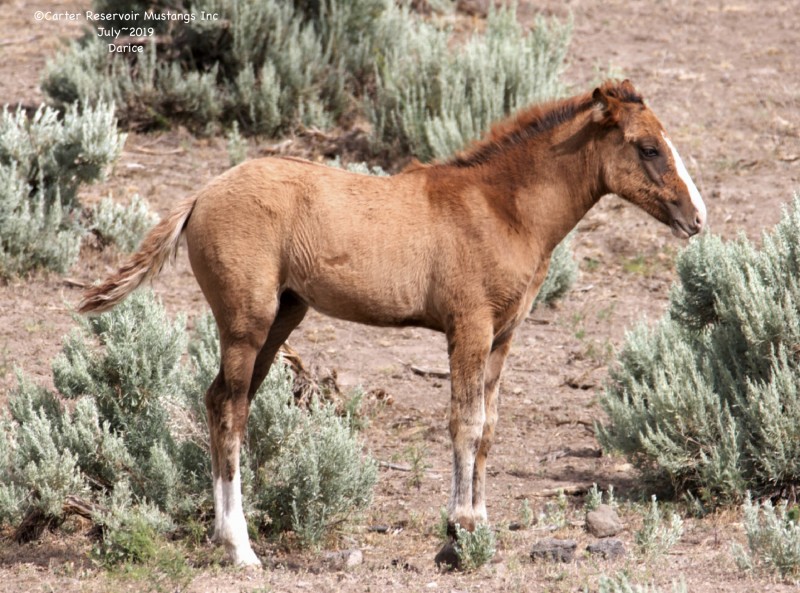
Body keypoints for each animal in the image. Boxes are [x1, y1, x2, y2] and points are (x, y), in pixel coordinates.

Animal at [79, 79, 706, 568]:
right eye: (648, 148)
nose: (697, 217)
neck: (500, 206)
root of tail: (202, 194)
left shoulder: (504, 337)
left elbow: (490, 429)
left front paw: (481, 524)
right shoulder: (469, 328)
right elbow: (464, 424)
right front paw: (459, 531)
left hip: (283, 316)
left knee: (219, 402)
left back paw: (224, 536)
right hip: (246, 321)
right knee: (231, 411)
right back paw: (241, 548)